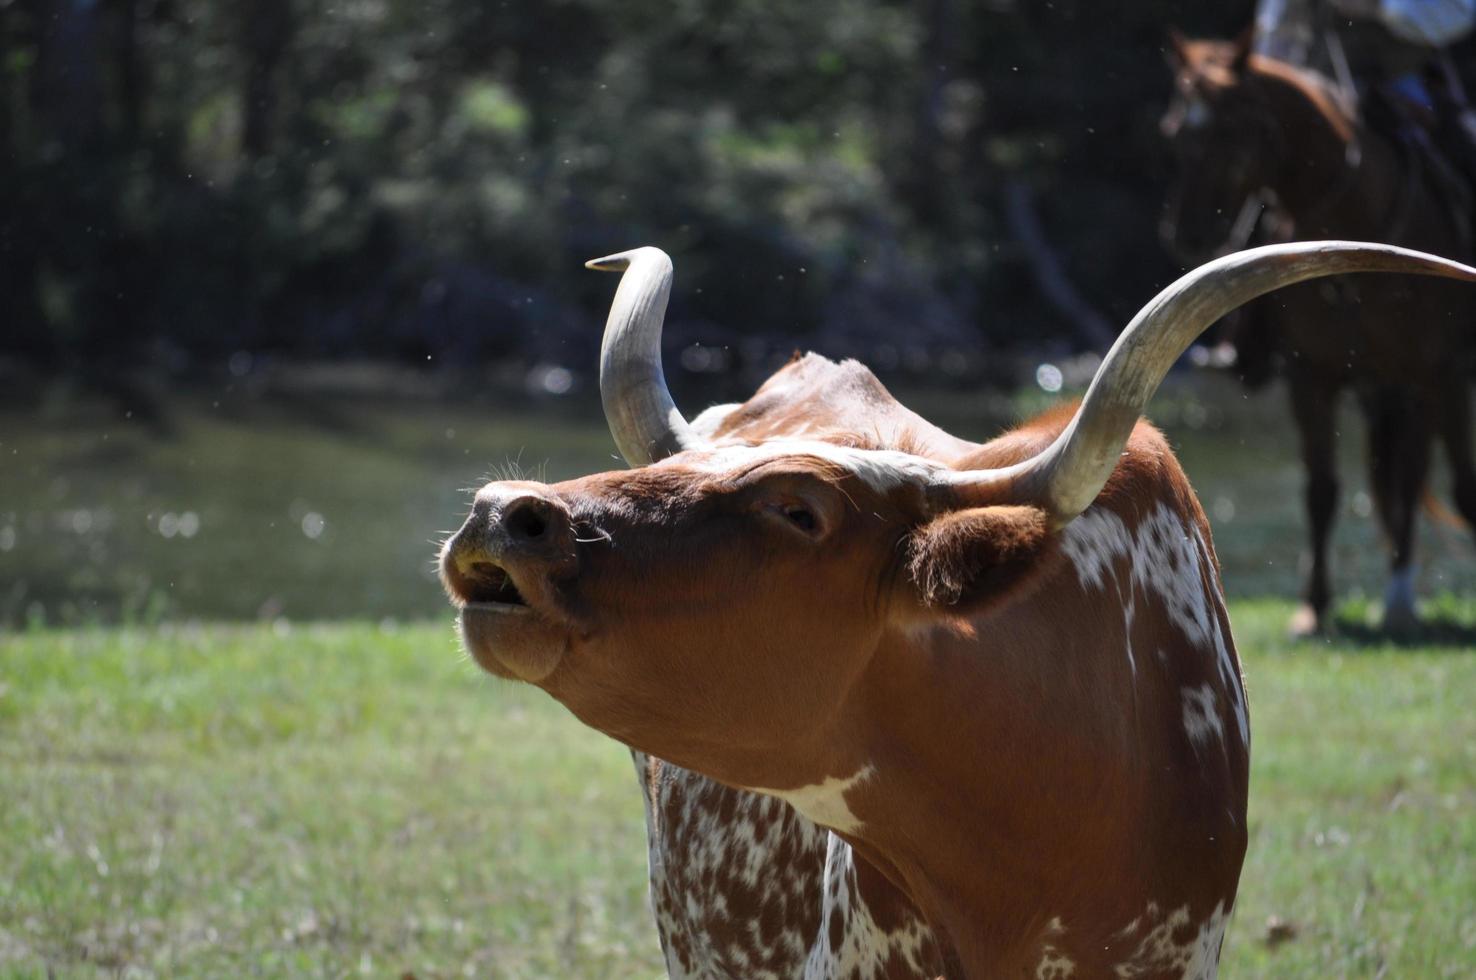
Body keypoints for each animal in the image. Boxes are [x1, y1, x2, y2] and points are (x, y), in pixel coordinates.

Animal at [1163, 32, 1476, 634]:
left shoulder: (1433, 373)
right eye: (1174, 128)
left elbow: (1431, 482)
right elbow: (1322, 489)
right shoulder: (1311, 376)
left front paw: (1398, 603)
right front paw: (1315, 606)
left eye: (1232, 128)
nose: (1188, 231)